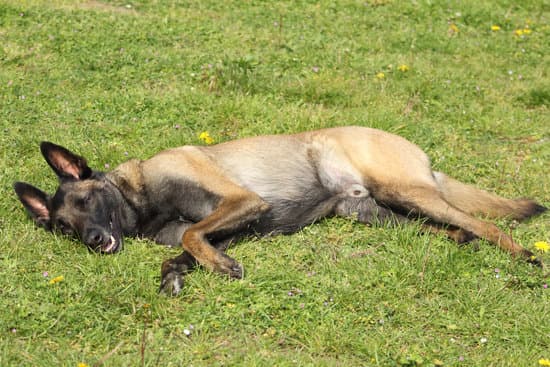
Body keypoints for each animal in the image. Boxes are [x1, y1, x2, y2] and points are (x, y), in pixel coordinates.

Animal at [12, 127, 548, 296]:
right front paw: (176, 277)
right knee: (455, 232)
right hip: (377, 212)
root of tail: (425, 161)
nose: (93, 240)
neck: (141, 198)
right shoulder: (227, 229)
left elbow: (190, 236)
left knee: (483, 225)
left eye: (86, 202)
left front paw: (218, 269)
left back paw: (525, 256)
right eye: (64, 227)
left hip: (406, 191)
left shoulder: (242, 203)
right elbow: (185, 247)